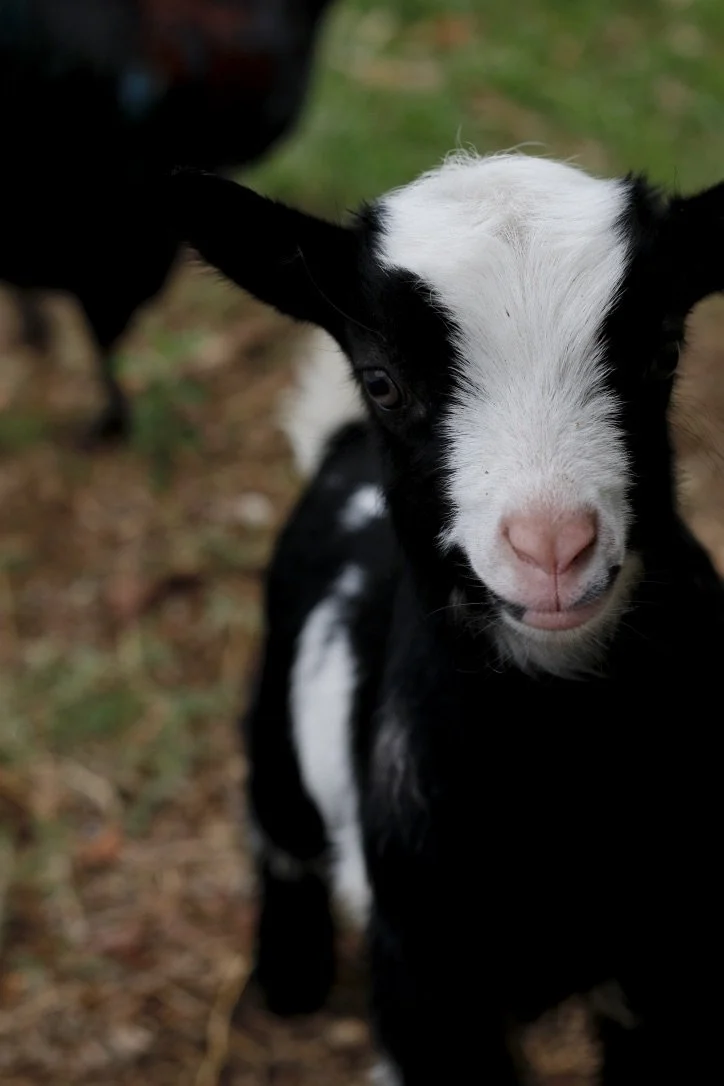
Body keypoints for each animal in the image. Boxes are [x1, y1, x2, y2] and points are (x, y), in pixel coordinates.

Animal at [171, 152, 724, 1084]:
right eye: (384, 380)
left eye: (663, 350)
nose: (552, 547)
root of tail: (338, 449)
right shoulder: (424, 979)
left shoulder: (672, 962)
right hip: (278, 692)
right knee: (276, 813)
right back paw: (290, 976)